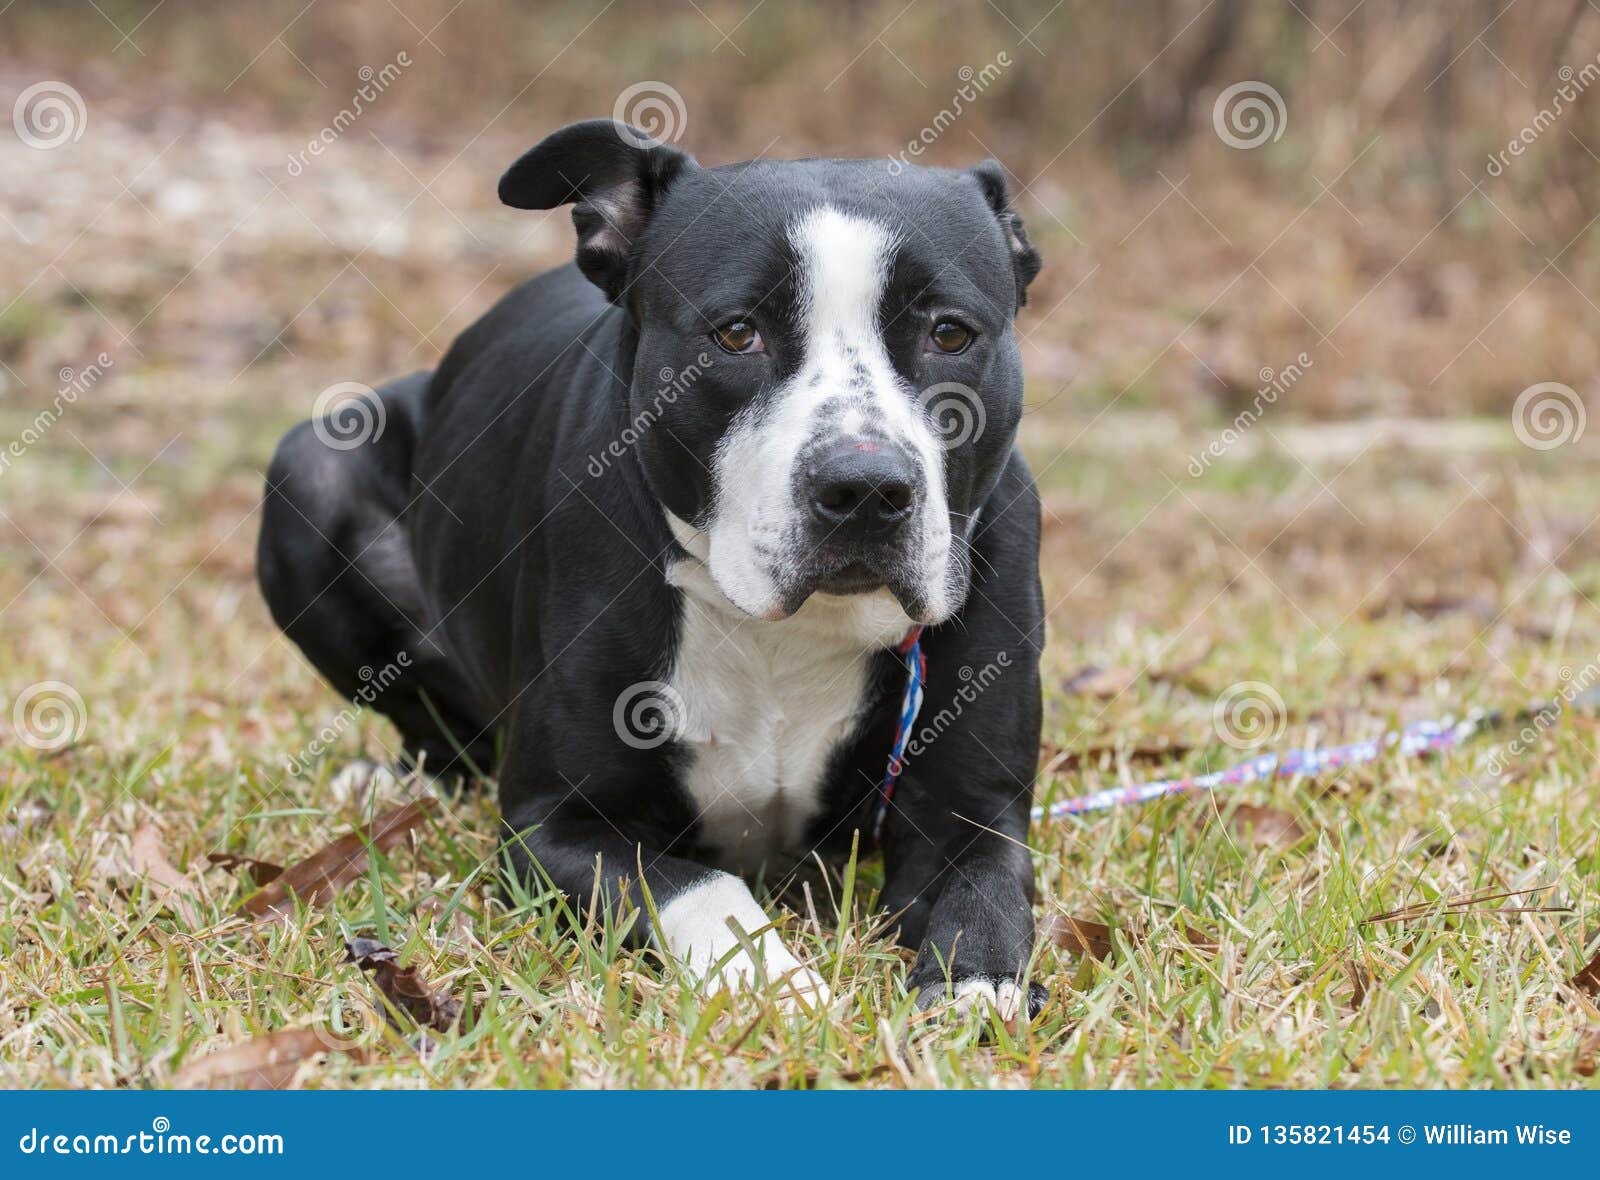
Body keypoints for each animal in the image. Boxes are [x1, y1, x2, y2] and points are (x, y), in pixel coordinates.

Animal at [256, 121, 1043, 1023]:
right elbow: (705, 888)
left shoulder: (973, 818)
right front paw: (780, 986)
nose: (866, 487)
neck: (790, 628)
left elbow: (986, 900)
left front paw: (974, 992)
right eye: (736, 333)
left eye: (949, 334)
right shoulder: (556, 827)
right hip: (310, 471)